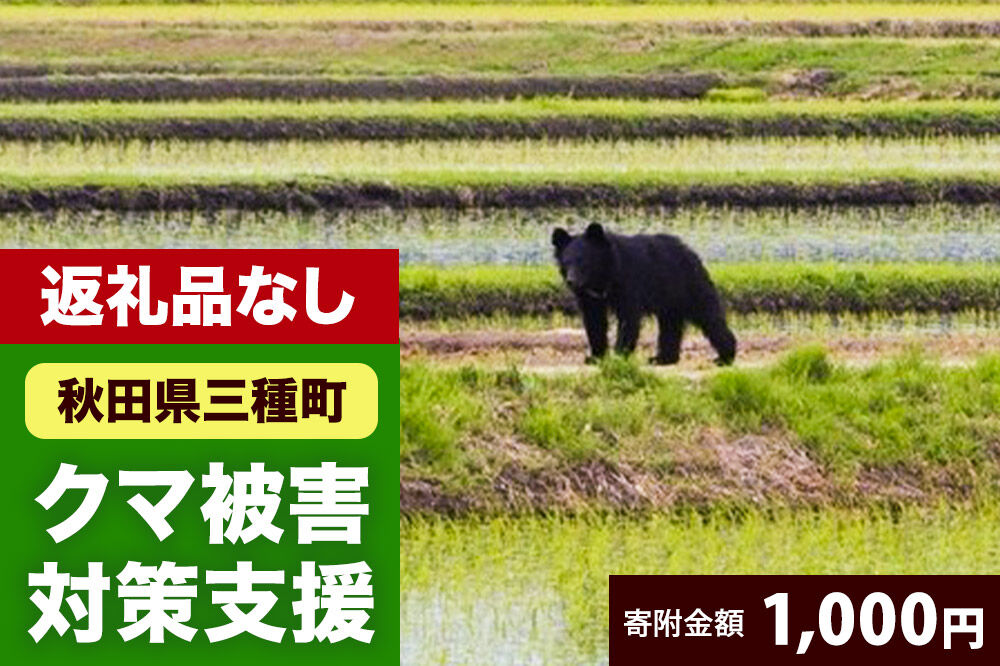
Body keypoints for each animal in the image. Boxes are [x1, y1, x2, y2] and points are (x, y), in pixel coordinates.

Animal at [551, 223, 736, 366]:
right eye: (566, 262)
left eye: (583, 262)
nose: (571, 281)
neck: (603, 277)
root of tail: (690, 251)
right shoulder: (589, 296)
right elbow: (594, 321)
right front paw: (595, 357)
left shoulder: (628, 281)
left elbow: (628, 318)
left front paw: (619, 355)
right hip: (670, 298)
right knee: (670, 324)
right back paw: (662, 359)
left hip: (689, 284)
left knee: (708, 316)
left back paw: (724, 357)